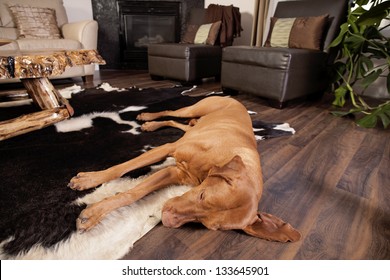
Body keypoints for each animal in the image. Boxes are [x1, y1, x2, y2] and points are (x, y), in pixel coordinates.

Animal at [68, 96, 302, 243]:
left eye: (206, 224)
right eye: (202, 195)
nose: (166, 218)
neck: (218, 159)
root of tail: (237, 101)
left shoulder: (175, 172)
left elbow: (134, 193)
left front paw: (94, 213)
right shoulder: (168, 149)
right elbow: (121, 170)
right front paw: (90, 181)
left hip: (195, 124)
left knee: (180, 124)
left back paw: (151, 125)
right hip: (196, 108)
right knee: (172, 112)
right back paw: (147, 118)